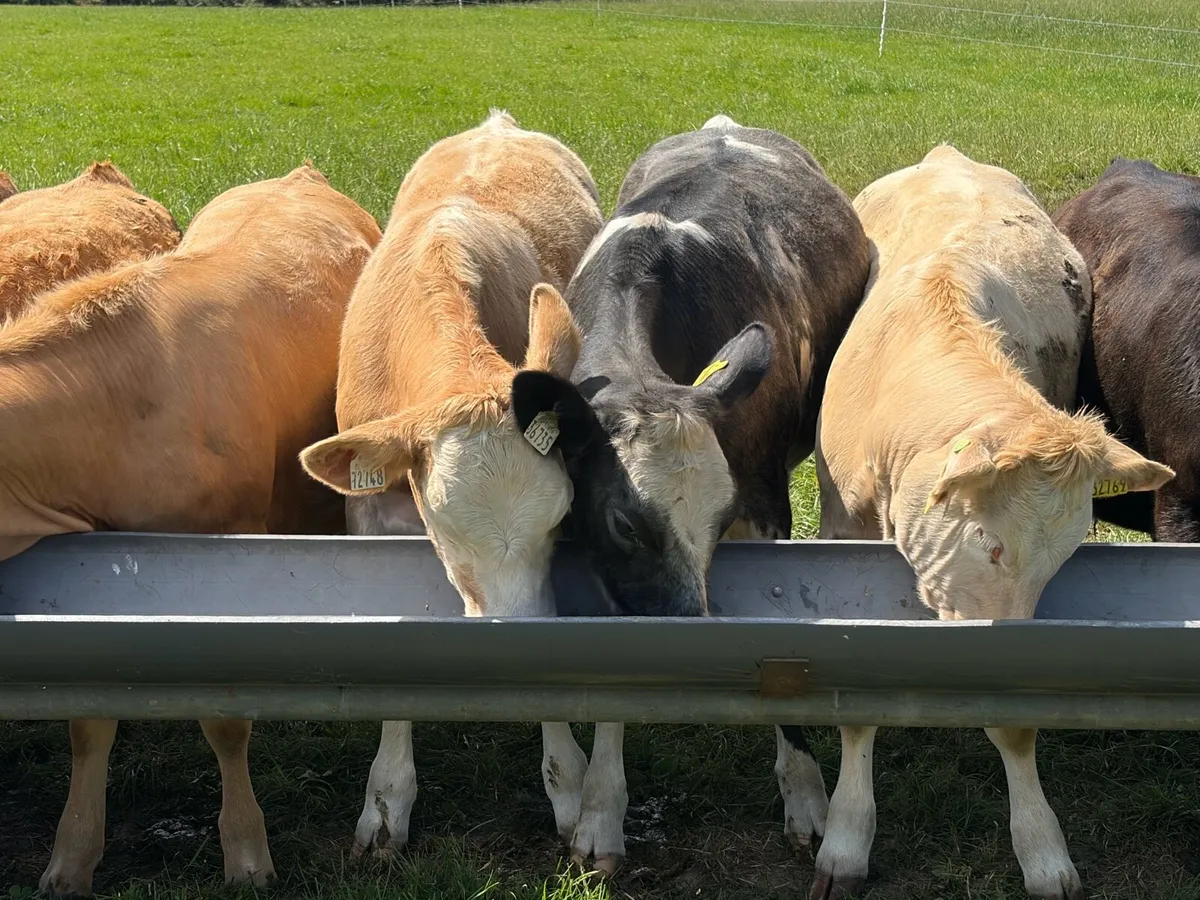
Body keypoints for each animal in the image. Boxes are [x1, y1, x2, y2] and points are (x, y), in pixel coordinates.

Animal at [509, 115, 872, 872]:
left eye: (719, 517)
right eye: (624, 525)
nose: (690, 641)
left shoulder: (764, 511)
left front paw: (805, 797)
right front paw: (600, 813)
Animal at [812, 144, 1173, 900]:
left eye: (1061, 560)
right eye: (986, 540)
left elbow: (1014, 725)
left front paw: (1043, 850)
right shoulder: (839, 532)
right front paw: (844, 838)